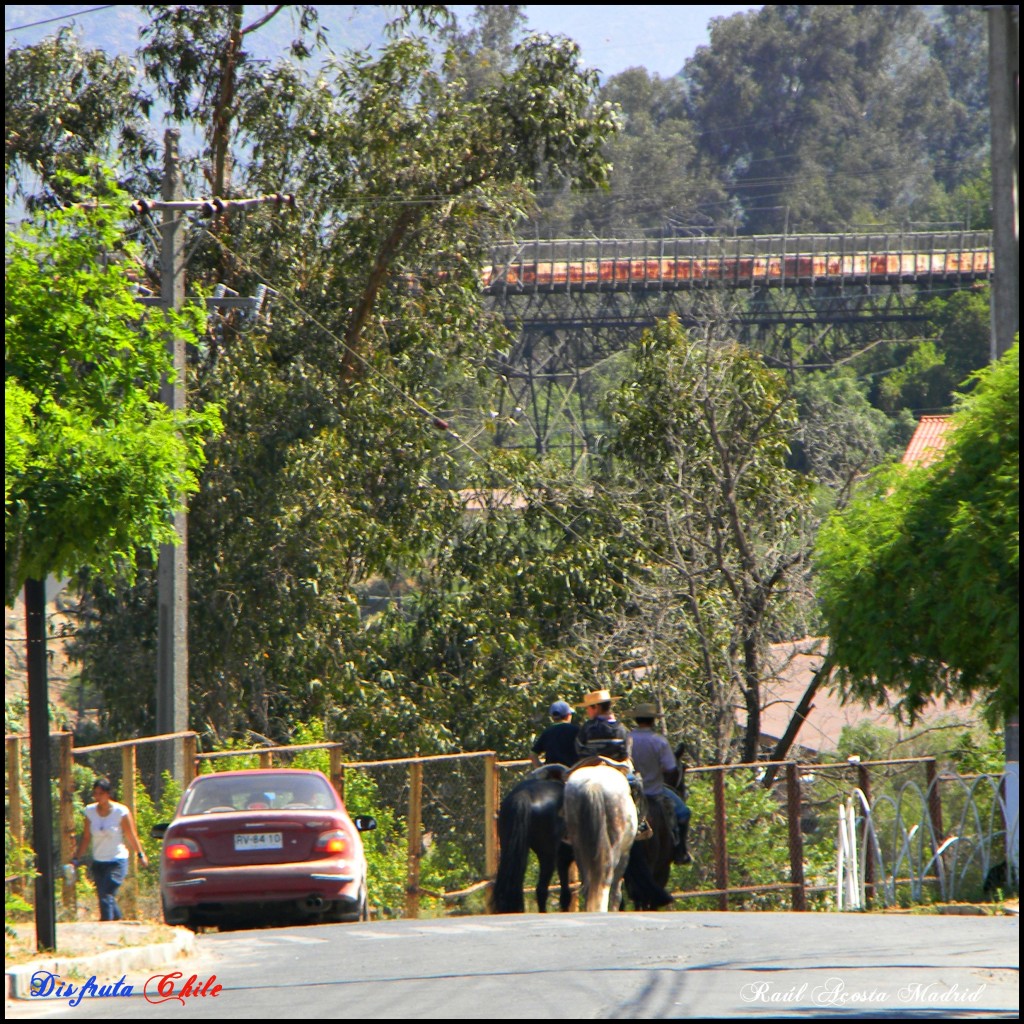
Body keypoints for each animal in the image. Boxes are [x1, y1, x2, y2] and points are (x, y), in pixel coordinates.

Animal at [565, 770, 634, 913]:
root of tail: (593, 784)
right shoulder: (625, 853)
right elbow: (616, 892)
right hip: (614, 847)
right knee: (606, 880)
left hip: (579, 846)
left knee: (588, 881)